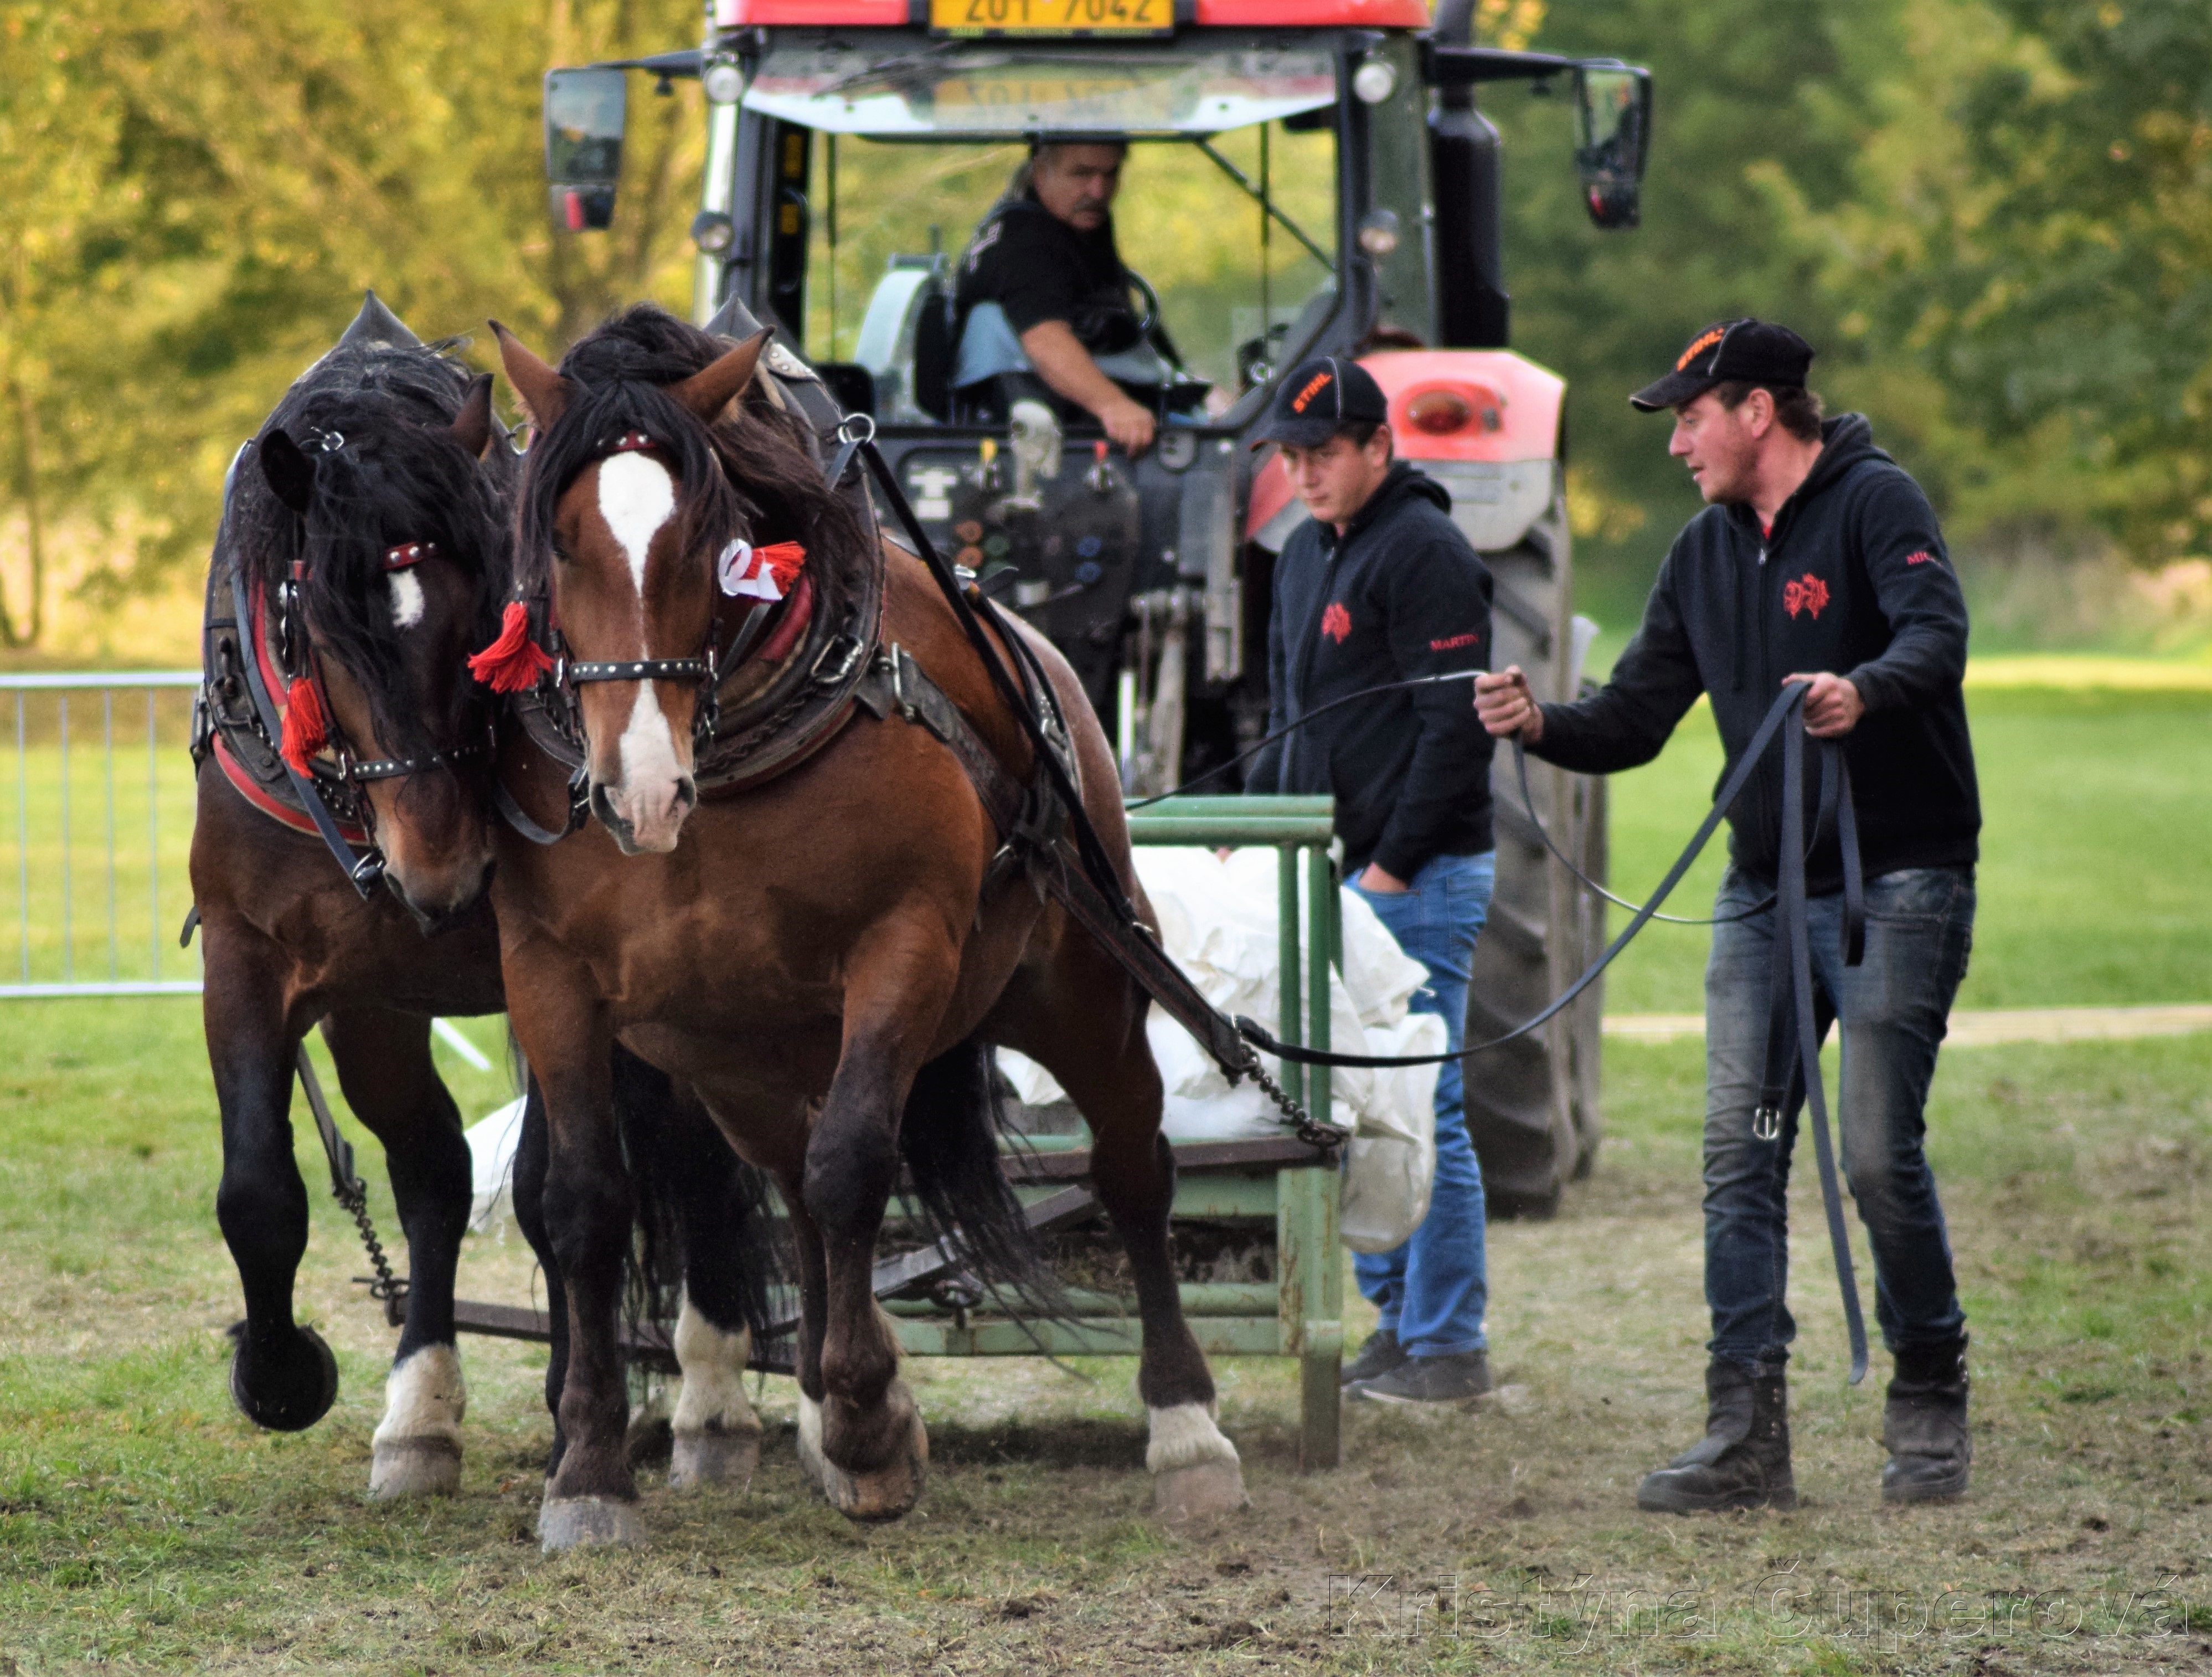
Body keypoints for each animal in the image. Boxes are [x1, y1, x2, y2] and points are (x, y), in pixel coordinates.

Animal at [194, 296, 778, 1504]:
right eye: (323, 634)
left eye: (483, 622)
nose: (445, 869)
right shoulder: (251, 954)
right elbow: (262, 1190)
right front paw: (286, 1374)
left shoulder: (553, 959)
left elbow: (565, 1185)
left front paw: (579, 1416)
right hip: (380, 1000)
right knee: (436, 1168)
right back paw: (425, 1406)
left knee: (687, 1156)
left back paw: (697, 1394)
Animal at [471, 310, 1247, 1557]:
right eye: (555, 539)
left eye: (708, 536)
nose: (639, 790)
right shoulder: (550, 978)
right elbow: (585, 1199)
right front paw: (590, 1469)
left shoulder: (904, 944)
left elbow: (851, 1168)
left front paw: (871, 1428)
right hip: (735, 1052)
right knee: (784, 1177)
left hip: (1074, 982)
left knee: (1131, 1165)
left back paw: (1184, 1426)